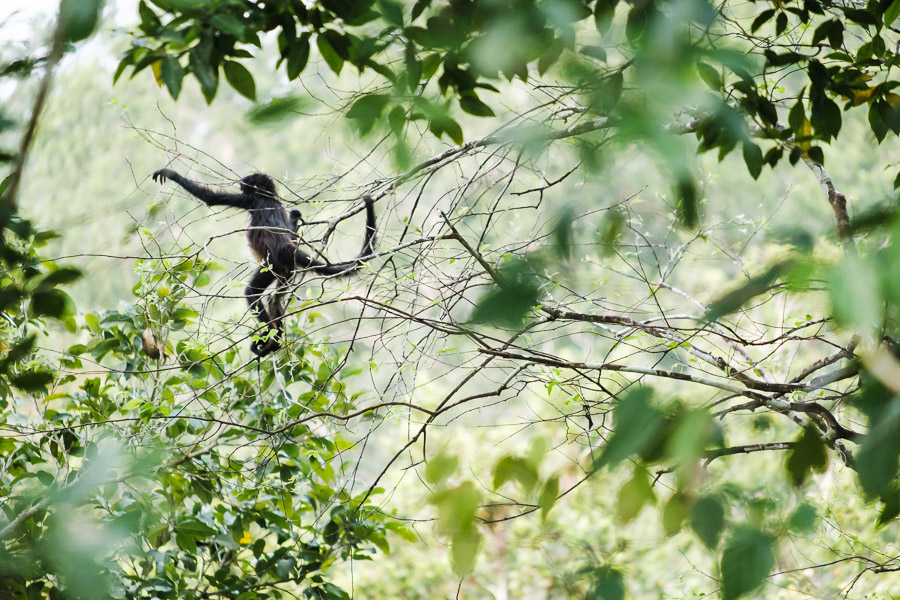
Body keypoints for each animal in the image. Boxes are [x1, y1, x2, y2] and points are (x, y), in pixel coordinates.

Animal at [152, 169, 376, 356]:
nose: (241, 181)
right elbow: (289, 228)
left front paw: (170, 174)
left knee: (253, 293)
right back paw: (276, 339)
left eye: (248, 181)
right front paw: (295, 217)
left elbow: (211, 198)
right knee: (274, 299)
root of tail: (286, 249)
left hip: (272, 267)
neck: (270, 197)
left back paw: (272, 340)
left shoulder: (251, 199)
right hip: (286, 272)